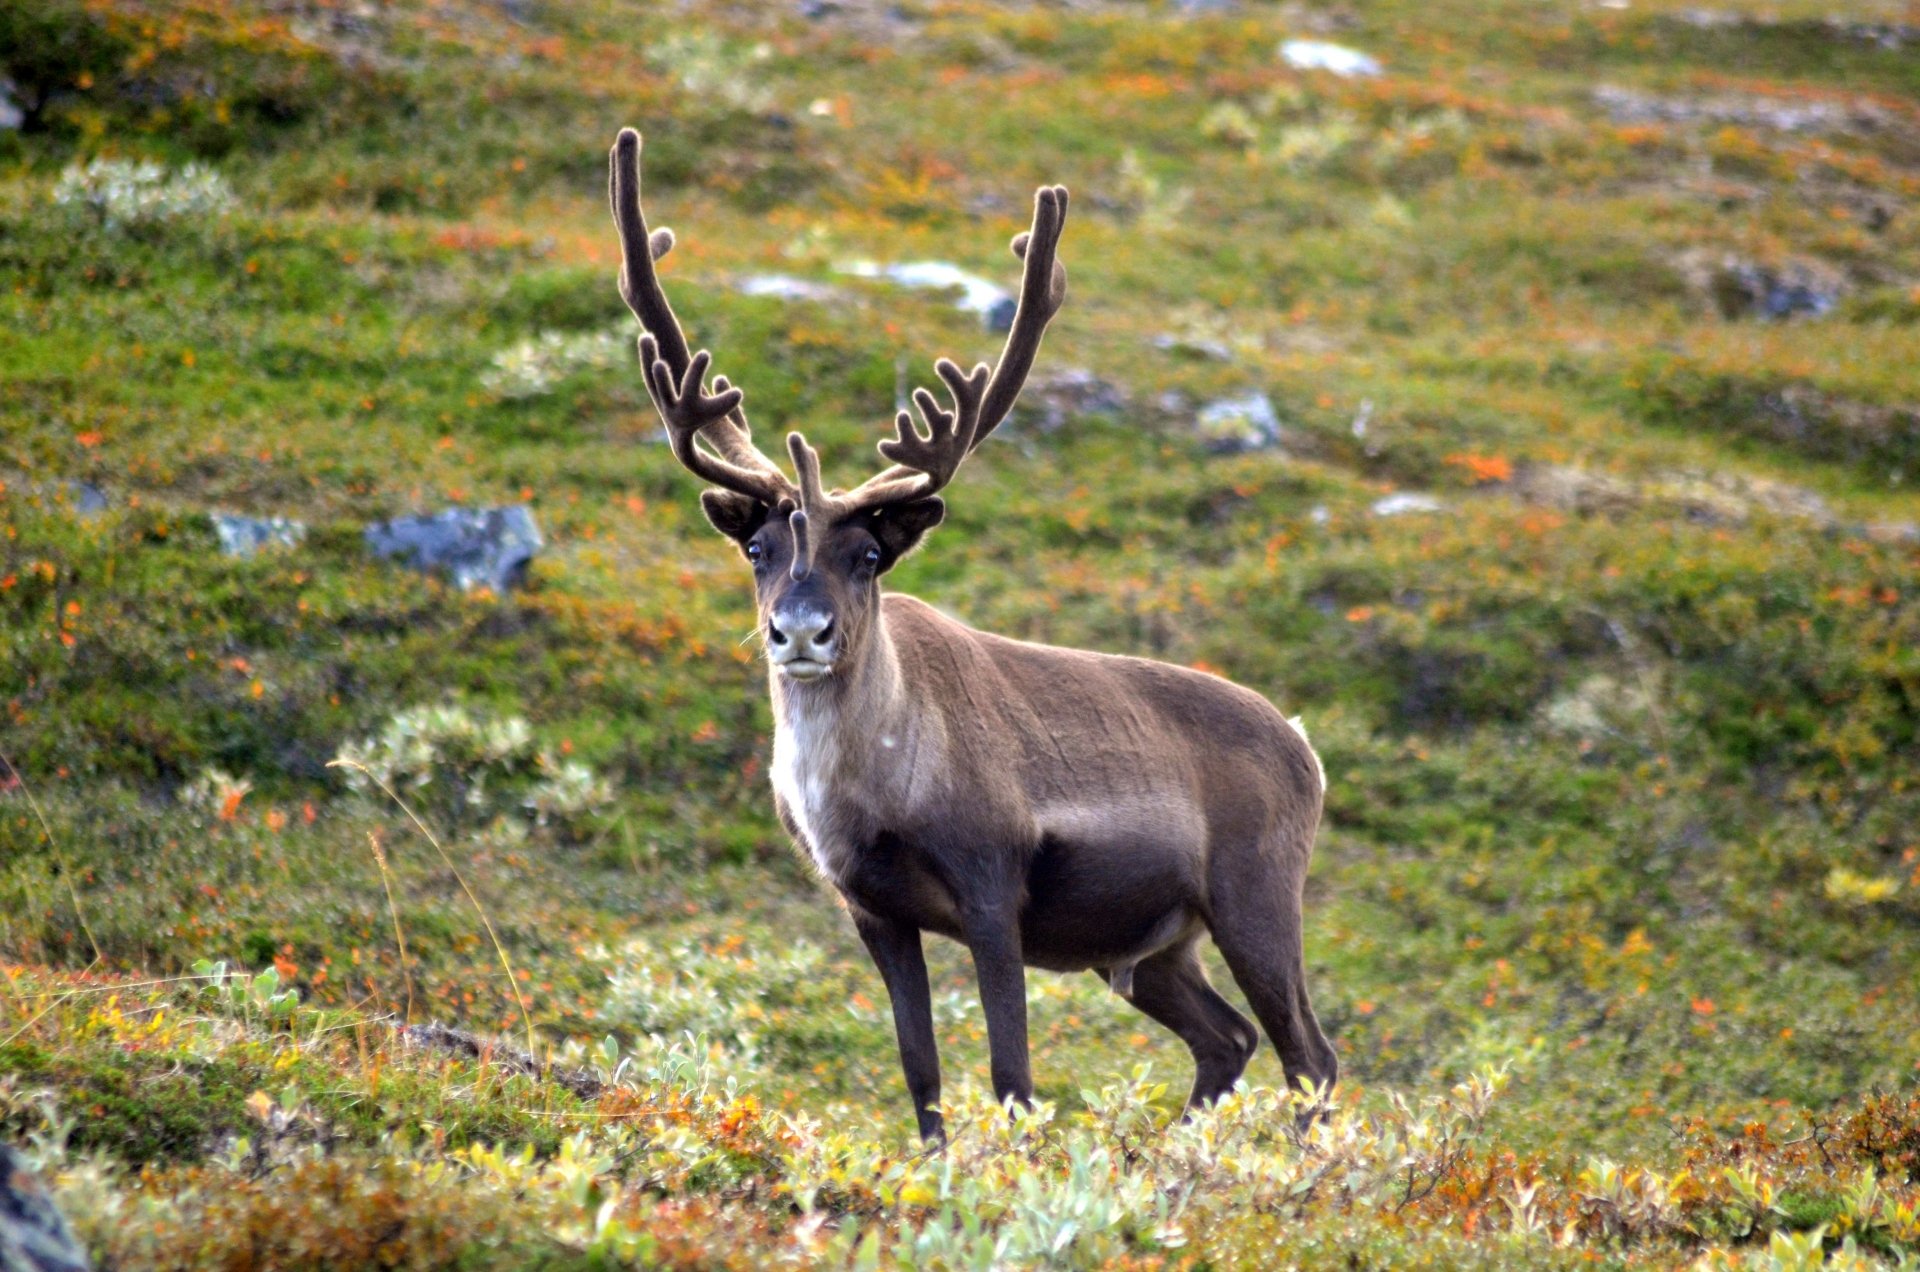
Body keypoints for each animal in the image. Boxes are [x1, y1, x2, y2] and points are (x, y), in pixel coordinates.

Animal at [608, 128, 1338, 1142]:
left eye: (870, 554)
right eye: (757, 546)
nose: (801, 631)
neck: (864, 789)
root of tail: (1308, 749)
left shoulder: (995, 888)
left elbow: (1012, 1076)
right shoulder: (872, 908)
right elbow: (921, 1071)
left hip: (1255, 896)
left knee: (1310, 1056)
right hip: (1151, 950)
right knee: (1226, 1039)